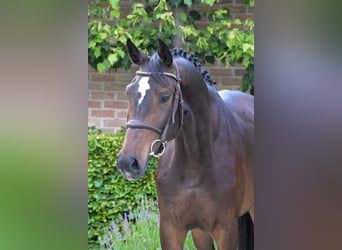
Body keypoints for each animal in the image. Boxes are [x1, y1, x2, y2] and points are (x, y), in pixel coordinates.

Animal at [117, 38, 254, 249]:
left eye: (165, 97)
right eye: (128, 92)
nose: (127, 163)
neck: (195, 162)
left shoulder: (226, 230)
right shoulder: (172, 229)